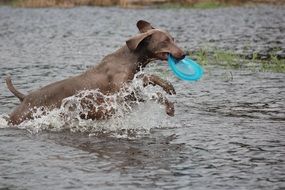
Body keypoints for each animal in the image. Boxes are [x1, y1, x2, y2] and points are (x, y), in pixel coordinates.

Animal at [5, 20, 185, 125]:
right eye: (165, 41)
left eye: (173, 39)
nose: (184, 54)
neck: (129, 58)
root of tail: (24, 97)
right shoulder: (120, 96)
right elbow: (152, 90)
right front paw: (169, 103)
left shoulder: (131, 86)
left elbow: (149, 80)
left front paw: (168, 88)